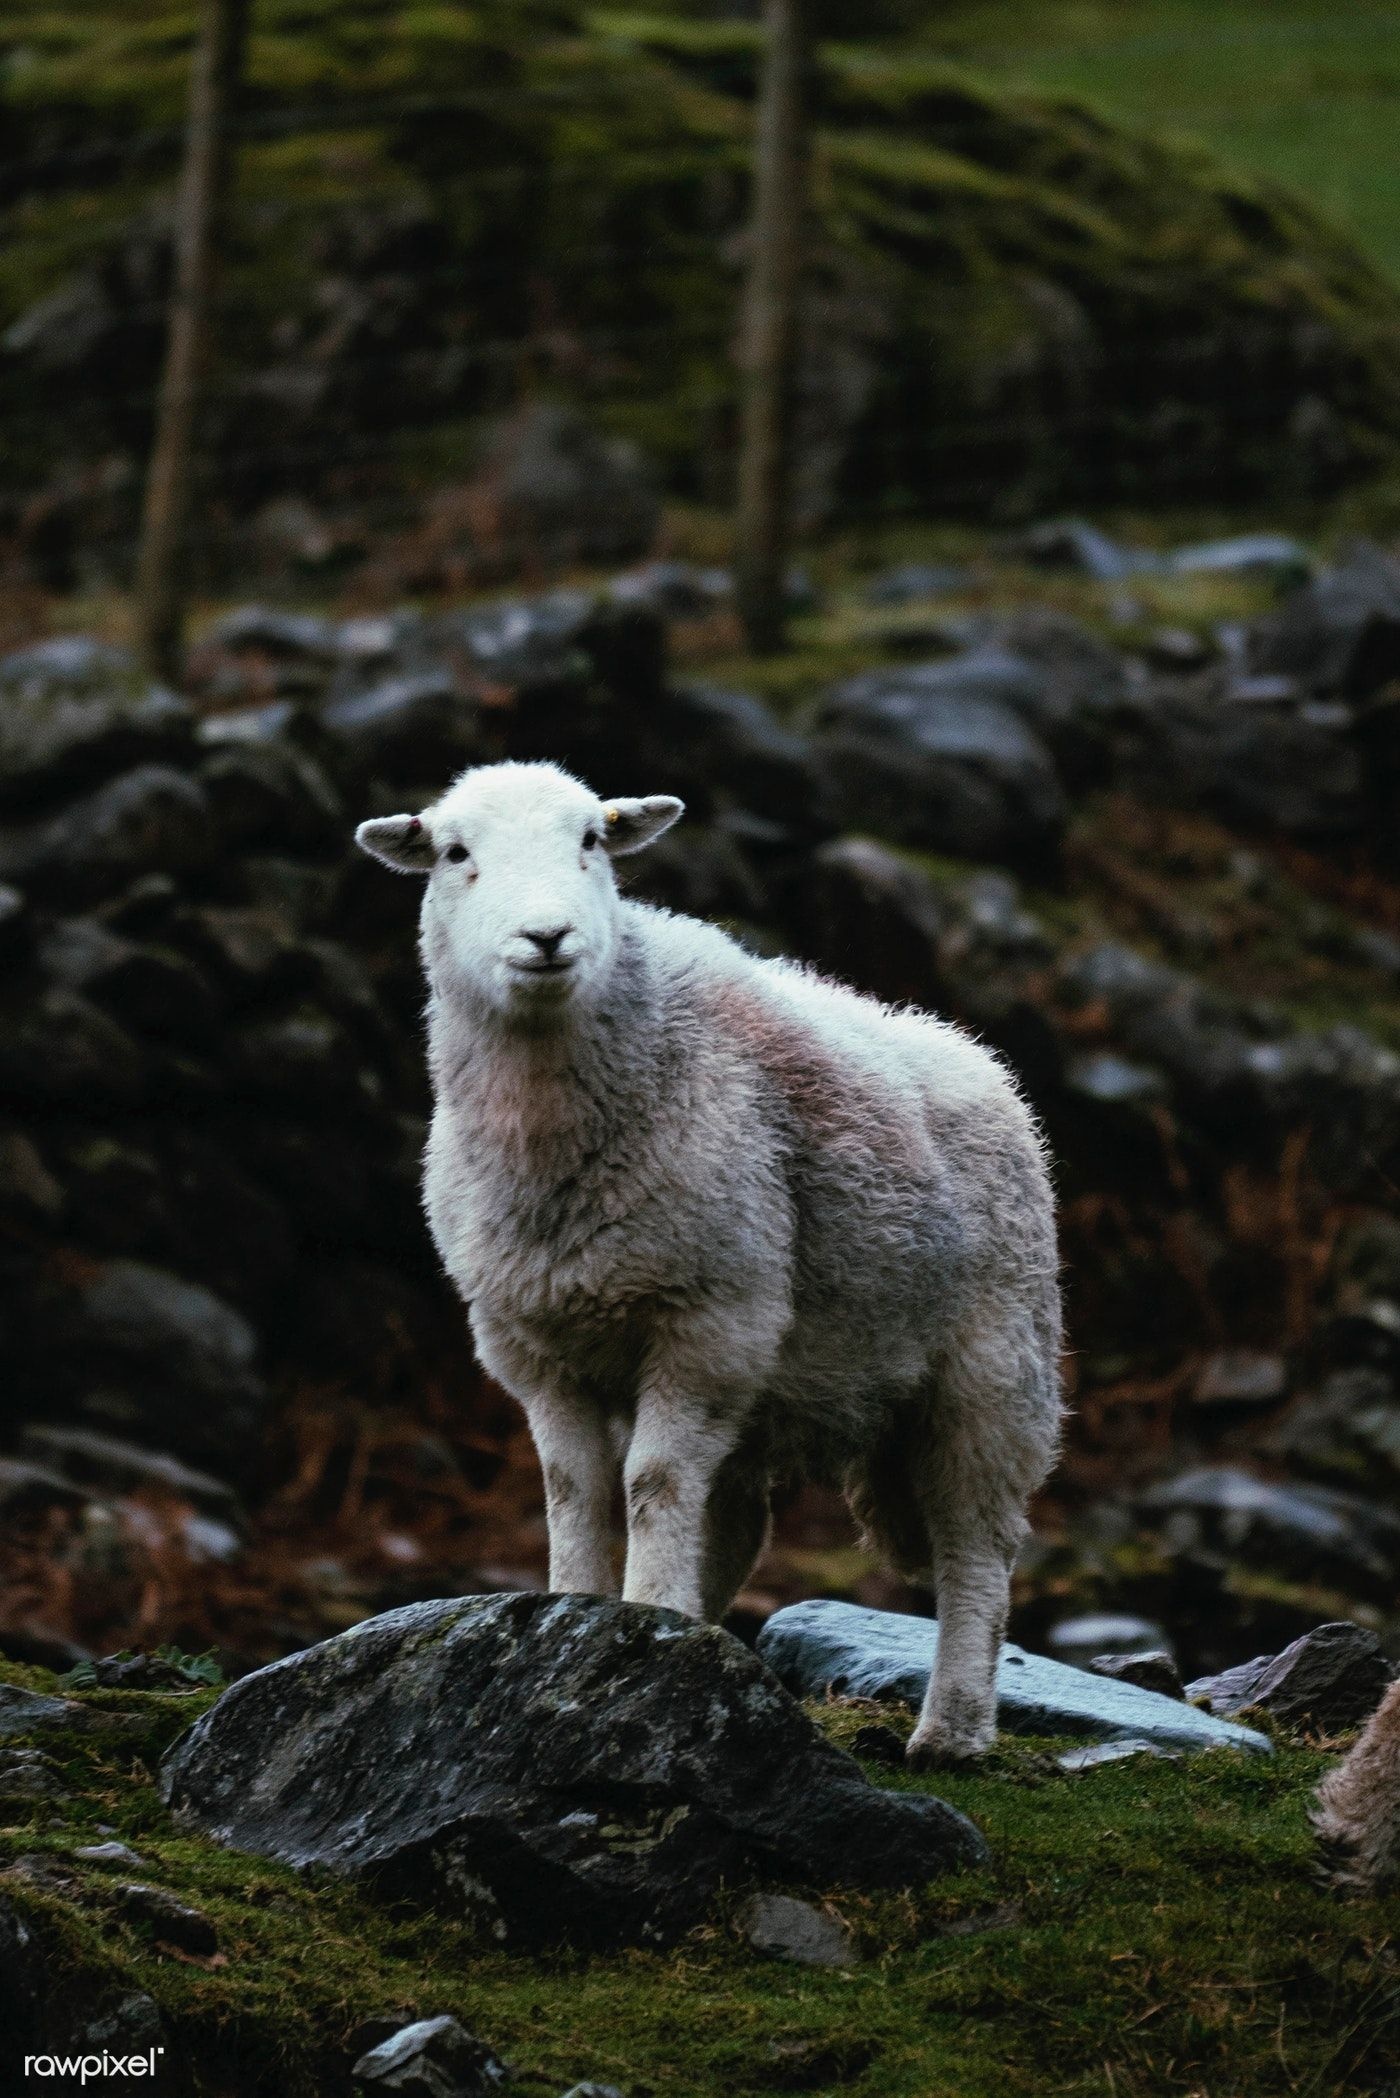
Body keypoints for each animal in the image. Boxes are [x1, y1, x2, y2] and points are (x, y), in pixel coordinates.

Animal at [352, 763, 1062, 1762]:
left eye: (593, 840)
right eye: (456, 854)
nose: (547, 937)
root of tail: (972, 1054)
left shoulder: (706, 1320)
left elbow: (651, 1484)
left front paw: (645, 1613)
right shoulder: (536, 1343)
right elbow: (575, 1491)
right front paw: (582, 1611)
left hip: (992, 1365)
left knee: (976, 1549)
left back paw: (951, 1730)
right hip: (777, 1385)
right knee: (736, 1519)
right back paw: (701, 1631)